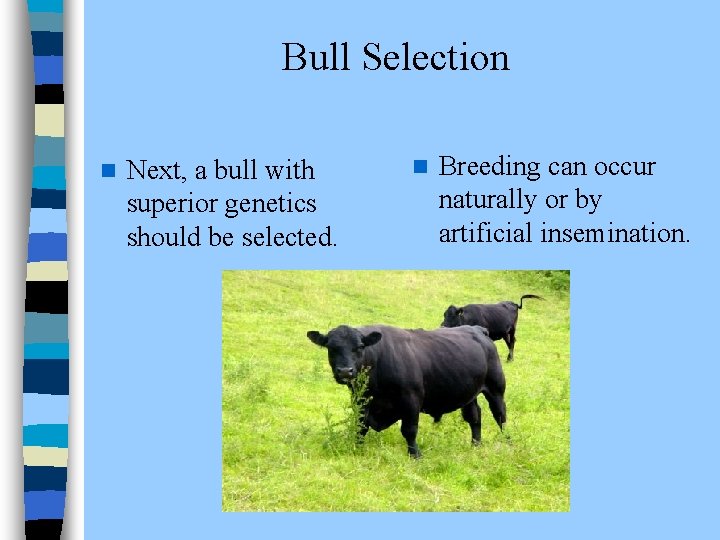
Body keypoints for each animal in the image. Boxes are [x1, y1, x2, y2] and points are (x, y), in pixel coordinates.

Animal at [307, 324, 506, 457]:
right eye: (331, 347)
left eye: (360, 347)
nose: (345, 371)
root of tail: (477, 328)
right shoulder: (360, 399)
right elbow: (360, 426)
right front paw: (358, 447)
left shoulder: (411, 400)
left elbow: (409, 430)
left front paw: (415, 455)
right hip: (469, 393)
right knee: (474, 417)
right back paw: (475, 445)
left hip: (496, 388)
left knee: (500, 415)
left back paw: (507, 442)